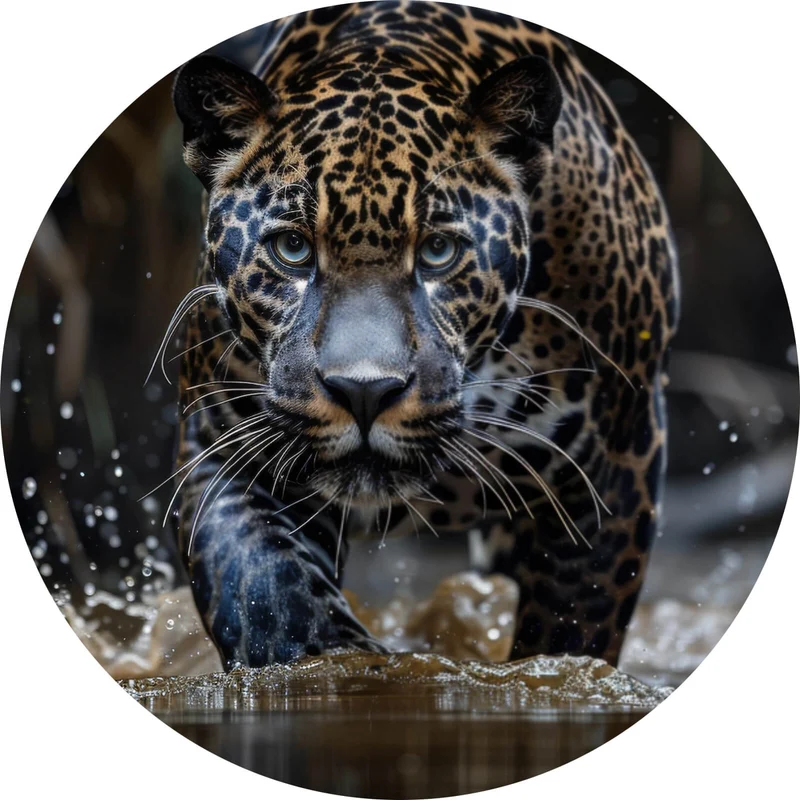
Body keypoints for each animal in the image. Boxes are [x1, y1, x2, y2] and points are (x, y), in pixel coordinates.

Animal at [160, 0, 679, 671]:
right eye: (292, 248)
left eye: (438, 251)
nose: (364, 392)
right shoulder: (227, 446)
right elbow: (268, 595)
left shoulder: (612, 471)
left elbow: (570, 638)